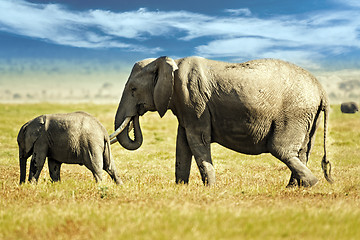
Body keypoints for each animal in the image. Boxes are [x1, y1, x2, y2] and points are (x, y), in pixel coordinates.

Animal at [109, 55, 332, 188]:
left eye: (133, 89)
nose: (135, 115)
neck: (169, 61)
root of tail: (322, 91)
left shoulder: (193, 99)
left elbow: (196, 140)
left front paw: (210, 188)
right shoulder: (184, 105)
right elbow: (182, 143)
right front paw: (181, 187)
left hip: (294, 114)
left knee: (281, 149)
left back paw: (313, 184)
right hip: (308, 118)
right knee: (302, 151)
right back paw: (296, 187)